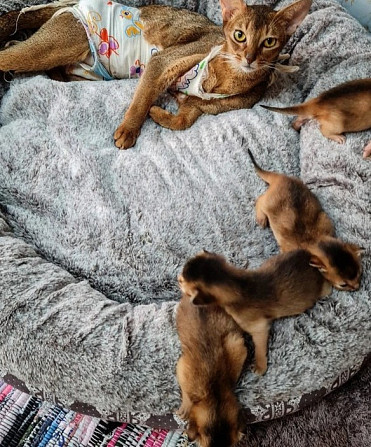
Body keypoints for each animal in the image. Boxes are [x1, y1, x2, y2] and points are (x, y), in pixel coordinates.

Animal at [0, 0, 314, 150]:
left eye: (269, 42)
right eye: (239, 35)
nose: (249, 58)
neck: (228, 77)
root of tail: (71, 5)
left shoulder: (197, 106)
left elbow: (182, 122)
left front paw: (157, 113)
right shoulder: (161, 62)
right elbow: (142, 98)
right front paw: (129, 130)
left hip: (84, 69)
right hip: (59, 44)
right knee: (11, 56)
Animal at [247, 149, 364, 292]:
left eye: (359, 273)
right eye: (343, 284)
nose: (357, 287)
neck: (315, 240)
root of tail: (281, 178)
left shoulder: (326, 222)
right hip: (267, 203)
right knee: (259, 199)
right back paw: (261, 217)